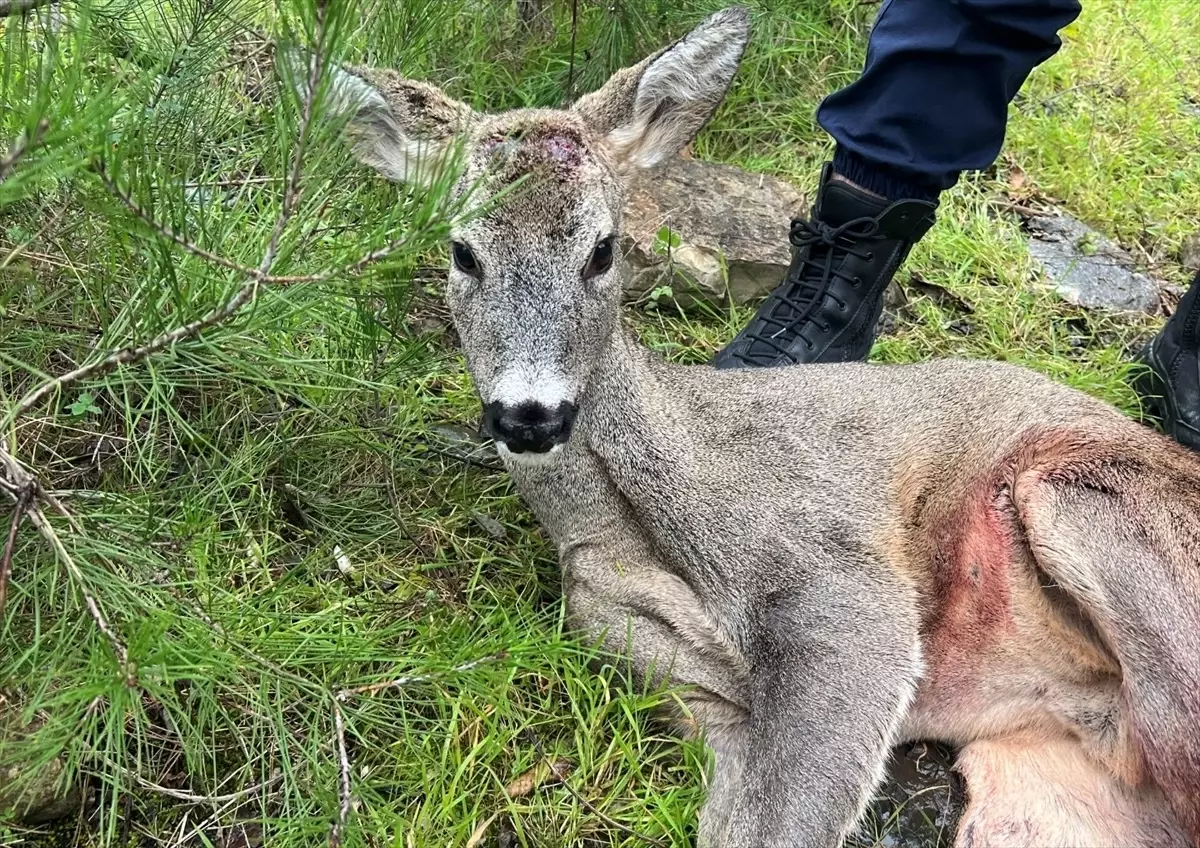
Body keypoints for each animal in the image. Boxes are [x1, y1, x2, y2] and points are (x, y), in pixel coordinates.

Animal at [288, 8, 1200, 848]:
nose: (530, 414)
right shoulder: (669, 671)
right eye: (463, 251)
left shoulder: (835, 577)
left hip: (1084, 498)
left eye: (603, 250)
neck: (631, 515)